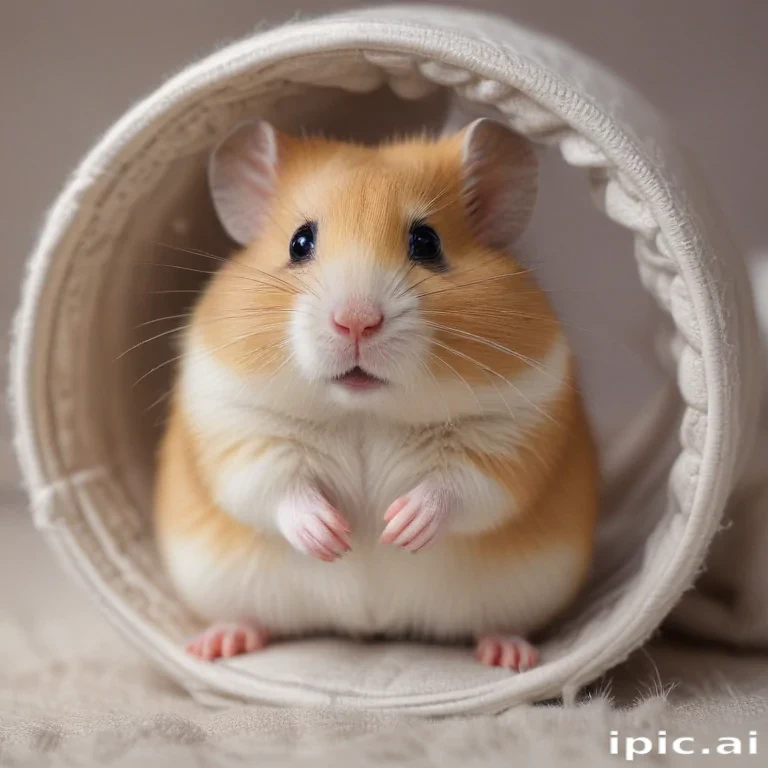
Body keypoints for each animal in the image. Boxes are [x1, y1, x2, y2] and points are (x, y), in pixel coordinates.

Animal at [153, 117, 599, 671]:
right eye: (300, 242)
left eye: (426, 242)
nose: (356, 321)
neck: (363, 411)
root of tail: (372, 627)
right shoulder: (235, 424)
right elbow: (277, 485)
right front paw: (333, 537)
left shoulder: (513, 428)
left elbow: (458, 485)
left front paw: (399, 529)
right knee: (249, 615)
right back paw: (217, 645)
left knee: (499, 623)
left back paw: (510, 656)